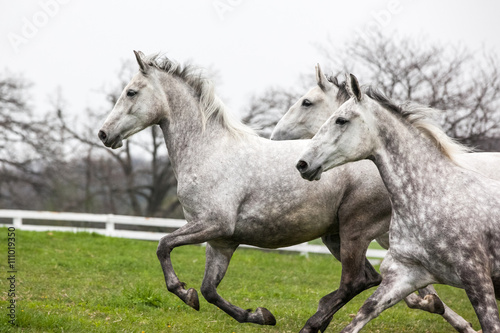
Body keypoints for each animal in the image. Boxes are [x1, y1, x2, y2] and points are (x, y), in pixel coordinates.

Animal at [296, 73, 500, 332]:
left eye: (341, 120)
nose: (302, 164)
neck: (433, 197)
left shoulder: (477, 278)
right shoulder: (404, 274)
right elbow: (362, 315)